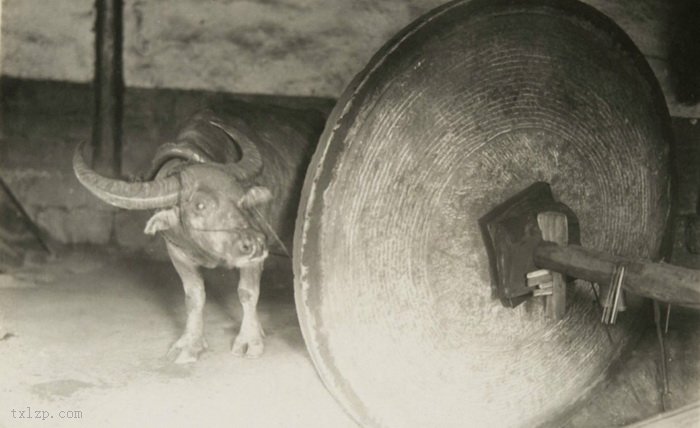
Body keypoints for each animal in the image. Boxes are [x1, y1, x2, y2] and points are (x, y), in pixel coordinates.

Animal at [73, 105, 320, 362]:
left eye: (242, 198)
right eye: (200, 205)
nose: (254, 243)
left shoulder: (255, 257)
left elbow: (247, 293)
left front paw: (250, 340)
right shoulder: (177, 254)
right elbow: (194, 296)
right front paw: (190, 344)